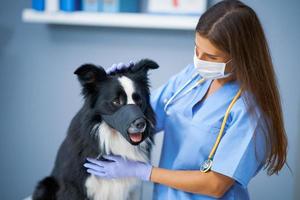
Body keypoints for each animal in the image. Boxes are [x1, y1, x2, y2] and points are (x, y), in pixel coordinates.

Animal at [31, 58, 159, 199]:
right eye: (116, 101)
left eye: (139, 101)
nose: (141, 124)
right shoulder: (73, 186)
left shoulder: (132, 190)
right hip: (46, 185)